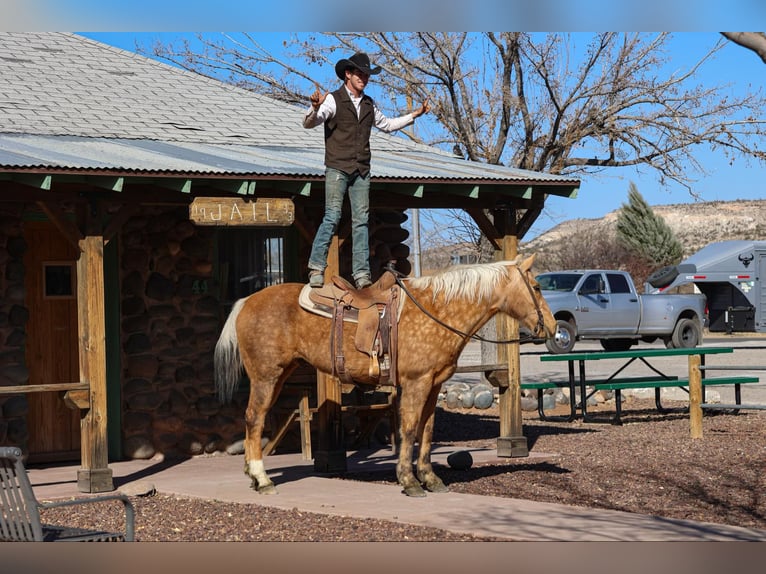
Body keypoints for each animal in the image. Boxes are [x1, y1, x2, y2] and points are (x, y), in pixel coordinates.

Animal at [214, 254, 557, 497]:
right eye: (537, 287)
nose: (552, 327)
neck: (438, 310)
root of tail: (246, 302)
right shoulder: (417, 383)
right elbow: (409, 429)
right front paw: (409, 481)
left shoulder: (434, 385)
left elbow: (427, 431)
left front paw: (430, 478)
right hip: (266, 376)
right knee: (254, 419)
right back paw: (262, 479)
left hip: (280, 375)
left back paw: (253, 476)